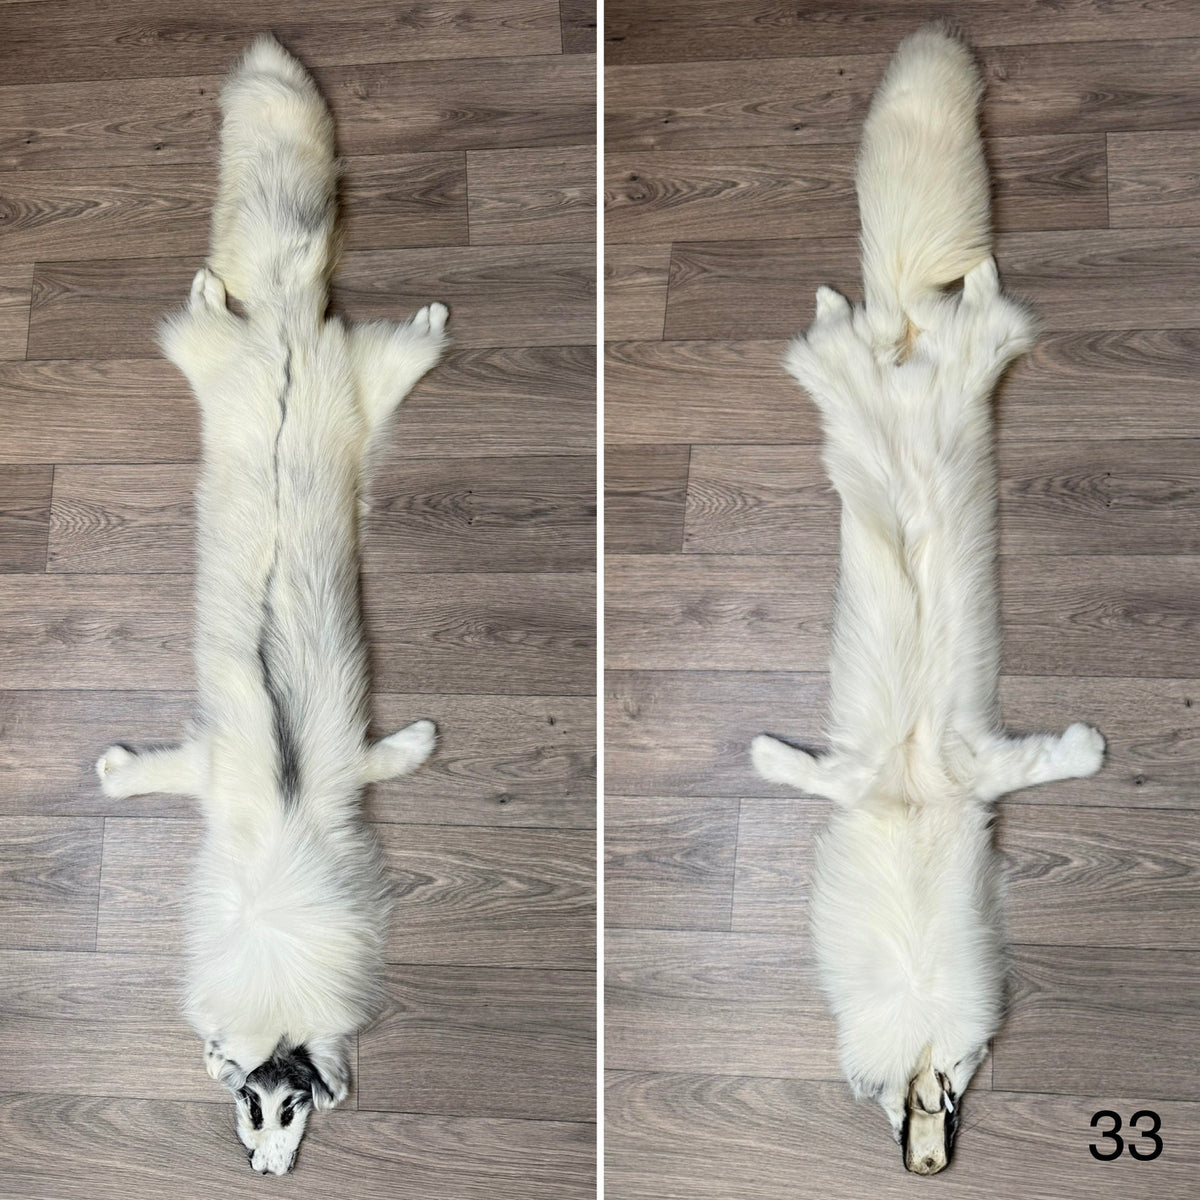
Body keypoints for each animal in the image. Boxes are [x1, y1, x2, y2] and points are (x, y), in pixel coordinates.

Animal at [94, 36, 450, 1174]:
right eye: (251, 1105)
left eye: (297, 1107)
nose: (265, 1173)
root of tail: (291, 331)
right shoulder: (214, 771)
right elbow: (163, 770)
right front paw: (114, 770)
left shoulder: (337, 781)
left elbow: (387, 756)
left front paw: (421, 740)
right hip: (226, 367)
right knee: (208, 319)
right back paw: (217, 284)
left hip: (362, 384)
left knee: (389, 347)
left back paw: (428, 318)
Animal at [749, 24, 1105, 1174]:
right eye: (923, 1098)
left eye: (953, 1086)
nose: (932, 1160)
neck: (907, 814)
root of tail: (910, 346)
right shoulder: (873, 777)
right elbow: (804, 771)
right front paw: (762, 754)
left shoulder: (962, 768)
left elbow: (1038, 760)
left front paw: (1087, 748)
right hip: (854, 388)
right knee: (857, 331)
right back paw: (851, 304)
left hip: (959, 376)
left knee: (966, 311)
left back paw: (947, 283)